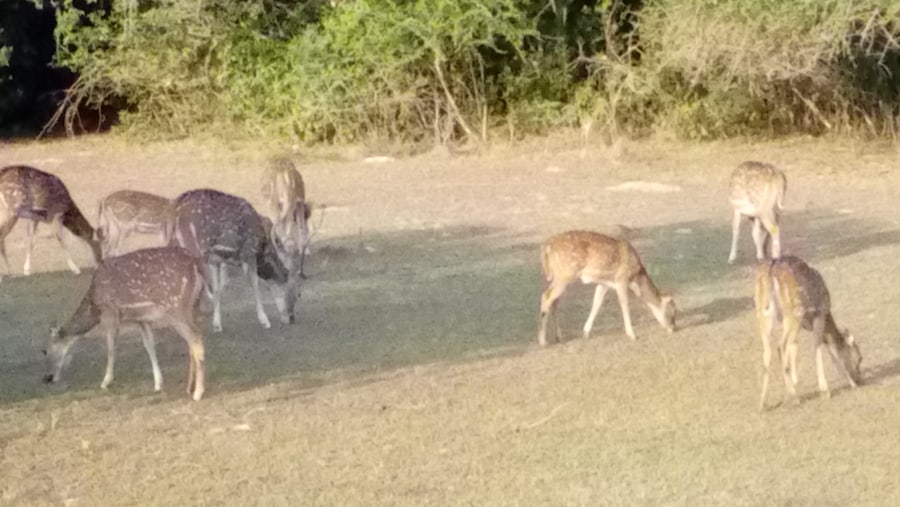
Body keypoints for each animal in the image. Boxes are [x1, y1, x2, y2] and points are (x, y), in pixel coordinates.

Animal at [43, 246, 207, 400]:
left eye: (46, 351)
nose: (48, 377)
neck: (94, 305)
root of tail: (195, 264)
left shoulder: (110, 311)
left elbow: (110, 347)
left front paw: (105, 382)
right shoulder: (142, 319)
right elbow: (149, 346)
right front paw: (158, 384)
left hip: (176, 306)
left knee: (195, 337)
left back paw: (198, 393)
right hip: (193, 306)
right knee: (193, 340)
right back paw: (189, 387)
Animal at [172, 189, 302, 336]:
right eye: (298, 294)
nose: (291, 318)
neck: (263, 250)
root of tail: (176, 208)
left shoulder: (217, 260)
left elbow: (218, 288)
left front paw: (217, 325)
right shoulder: (248, 253)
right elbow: (255, 285)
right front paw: (264, 321)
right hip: (194, 247)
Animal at [536, 231, 676, 348]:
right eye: (673, 313)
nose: (673, 328)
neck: (636, 277)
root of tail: (546, 248)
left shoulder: (604, 284)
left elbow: (596, 303)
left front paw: (586, 333)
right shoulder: (621, 279)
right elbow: (624, 304)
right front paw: (632, 335)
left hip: (560, 276)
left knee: (554, 301)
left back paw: (558, 337)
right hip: (566, 274)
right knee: (546, 297)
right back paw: (543, 341)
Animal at [756, 256, 860, 410]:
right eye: (858, 359)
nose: (859, 379)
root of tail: (771, 270)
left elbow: (796, 346)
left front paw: (795, 381)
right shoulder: (820, 314)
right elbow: (821, 347)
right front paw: (828, 390)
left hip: (764, 314)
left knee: (767, 351)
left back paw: (764, 403)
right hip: (794, 312)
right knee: (780, 346)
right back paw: (794, 397)